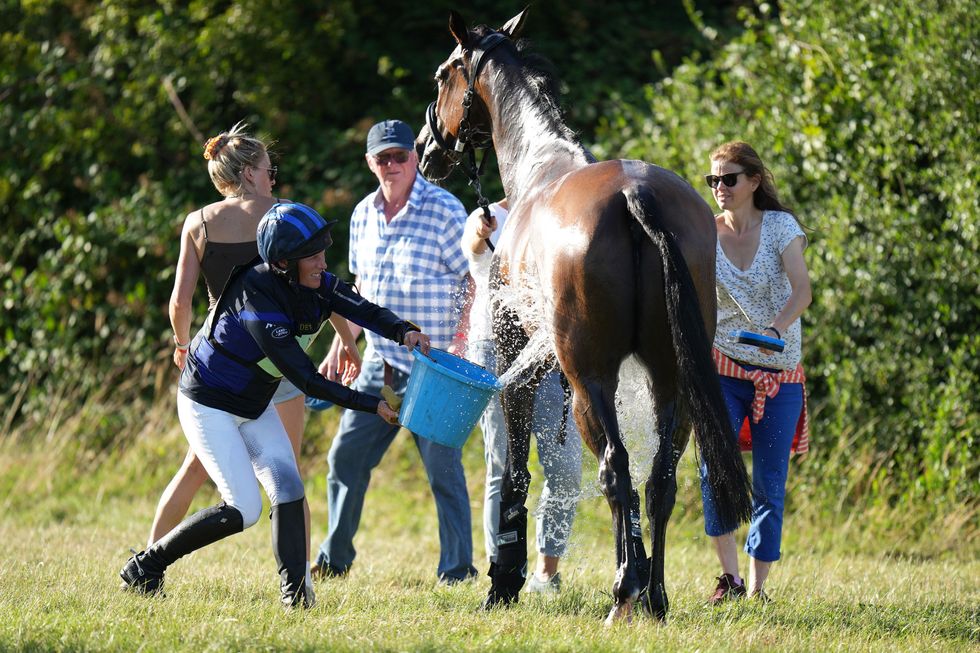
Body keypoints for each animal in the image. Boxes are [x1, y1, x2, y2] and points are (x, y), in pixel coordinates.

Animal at [416, 8, 752, 620]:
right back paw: (655, 595)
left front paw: (504, 579)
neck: (538, 168)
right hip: (671, 381)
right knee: (659, 478)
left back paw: (624, 593)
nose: (428, 146)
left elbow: (517, 471)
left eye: (443, 75)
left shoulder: (520, 361)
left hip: (591, 383)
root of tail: (636, 194)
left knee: (615, 470)